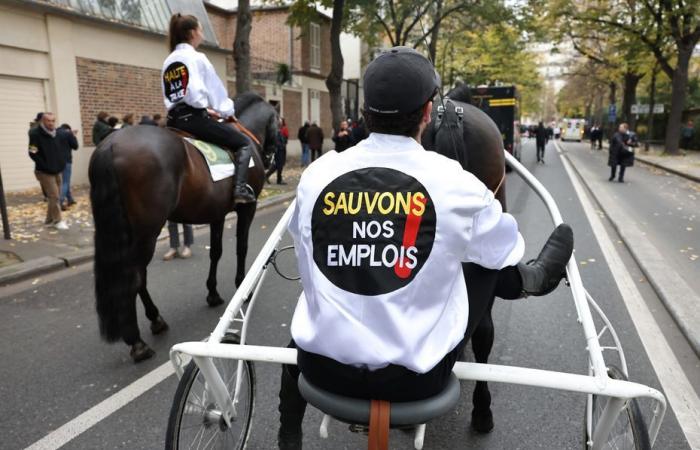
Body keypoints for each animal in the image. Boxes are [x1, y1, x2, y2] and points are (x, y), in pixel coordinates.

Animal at [90, 92, 278, 362]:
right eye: (278, 123)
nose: (272, 160)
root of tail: (110, 144)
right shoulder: (247, 209)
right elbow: (241, 246)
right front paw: (242, 286)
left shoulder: (217, 214)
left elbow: (216, 252)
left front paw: (213, 293)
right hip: (147, 232)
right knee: (135, 277)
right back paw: (138, 341)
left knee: (137, 277)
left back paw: (155, 320)